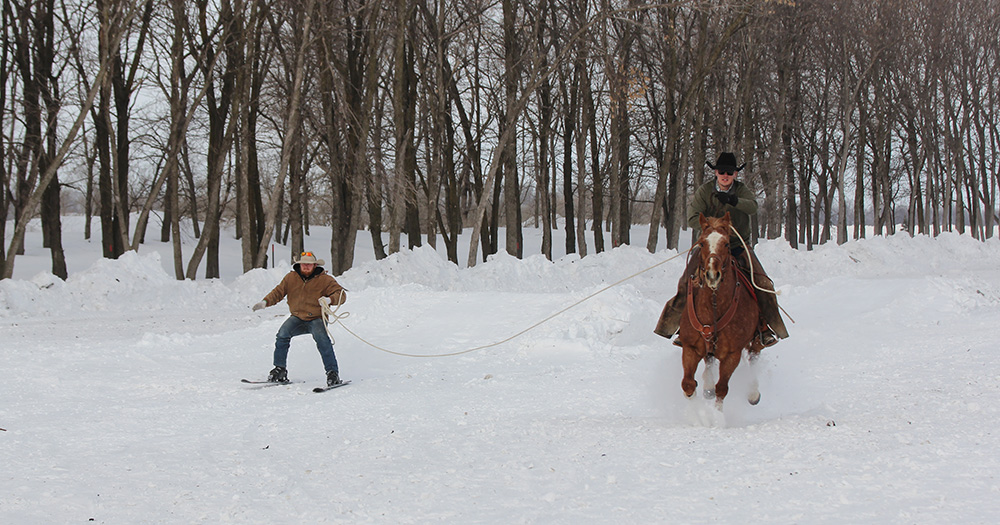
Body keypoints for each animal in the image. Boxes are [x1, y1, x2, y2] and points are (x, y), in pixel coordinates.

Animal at [680, 213, 764, 410]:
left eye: (726, 243)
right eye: (702, 243)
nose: (712, 275)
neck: (713, 306)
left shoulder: (732, 354)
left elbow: (722, 389)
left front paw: (717, 416)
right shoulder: (690, 348)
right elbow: (688, 384)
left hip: (756, 340)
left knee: (754, 358)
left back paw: (753, 392)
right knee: (709, 361)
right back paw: (707, 385)